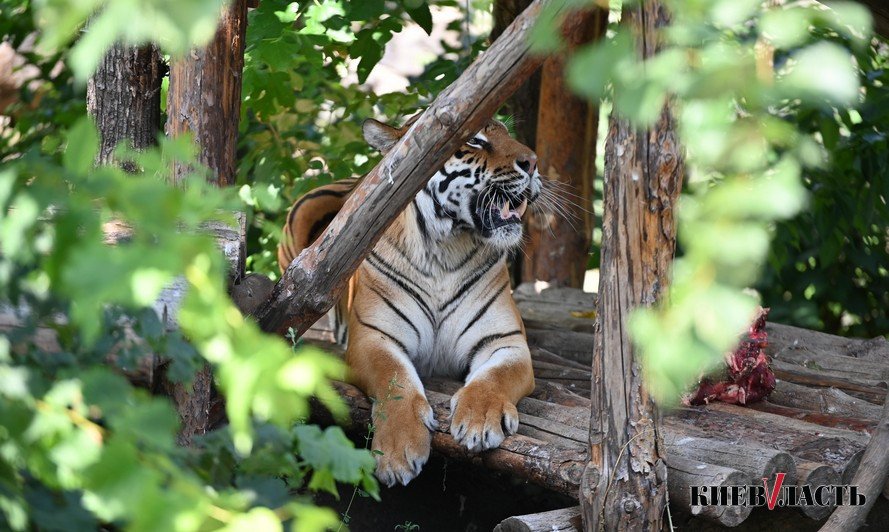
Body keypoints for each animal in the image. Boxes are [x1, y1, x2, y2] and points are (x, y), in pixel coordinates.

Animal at [280, 114, 540, 488]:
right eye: (474, 141)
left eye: (507, 134)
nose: (533, 162)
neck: (445, 249)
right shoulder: (373, 338)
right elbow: (395, 379)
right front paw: (398, 452)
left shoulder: (506, 341)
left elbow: (495, 377)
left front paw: (480, 419)